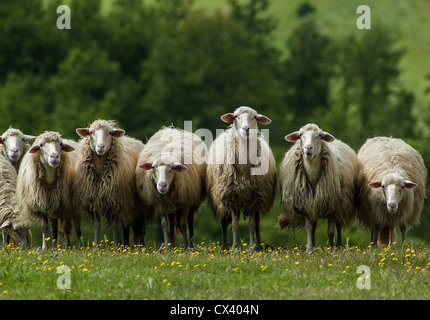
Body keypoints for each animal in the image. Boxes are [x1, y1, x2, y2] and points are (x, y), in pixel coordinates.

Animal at [74, 120, 144, 248]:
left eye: (110, 133)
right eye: (91, 132)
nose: (100, 147)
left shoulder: (115, 202)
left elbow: (115, 226)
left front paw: (115, 247)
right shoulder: (93, 201)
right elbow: (97, 226)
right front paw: (95, 247)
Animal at [205, 106, 276, 251]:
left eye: (254, 117)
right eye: (236, 116)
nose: (246, 128)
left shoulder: (255, 197)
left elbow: (252, 224)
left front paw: (252, 247)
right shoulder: (230, 197)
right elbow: (234, 224)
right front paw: (235, 247)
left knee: (257, 224)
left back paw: (259, 246)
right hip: (222, 199)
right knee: (224, 223)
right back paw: (225, 247)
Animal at [278, 122, 358, 252]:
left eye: (320, 135)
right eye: (300, 135)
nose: (308, 148)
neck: (312, 173)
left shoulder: (333, 205)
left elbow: (330, 231)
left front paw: (331, 248)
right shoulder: (306, 204)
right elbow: (309, 228)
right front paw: (309, 249)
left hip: (342, 203)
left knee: (339, 224)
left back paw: (339, 245)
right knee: (314, 227)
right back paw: (315, 246)